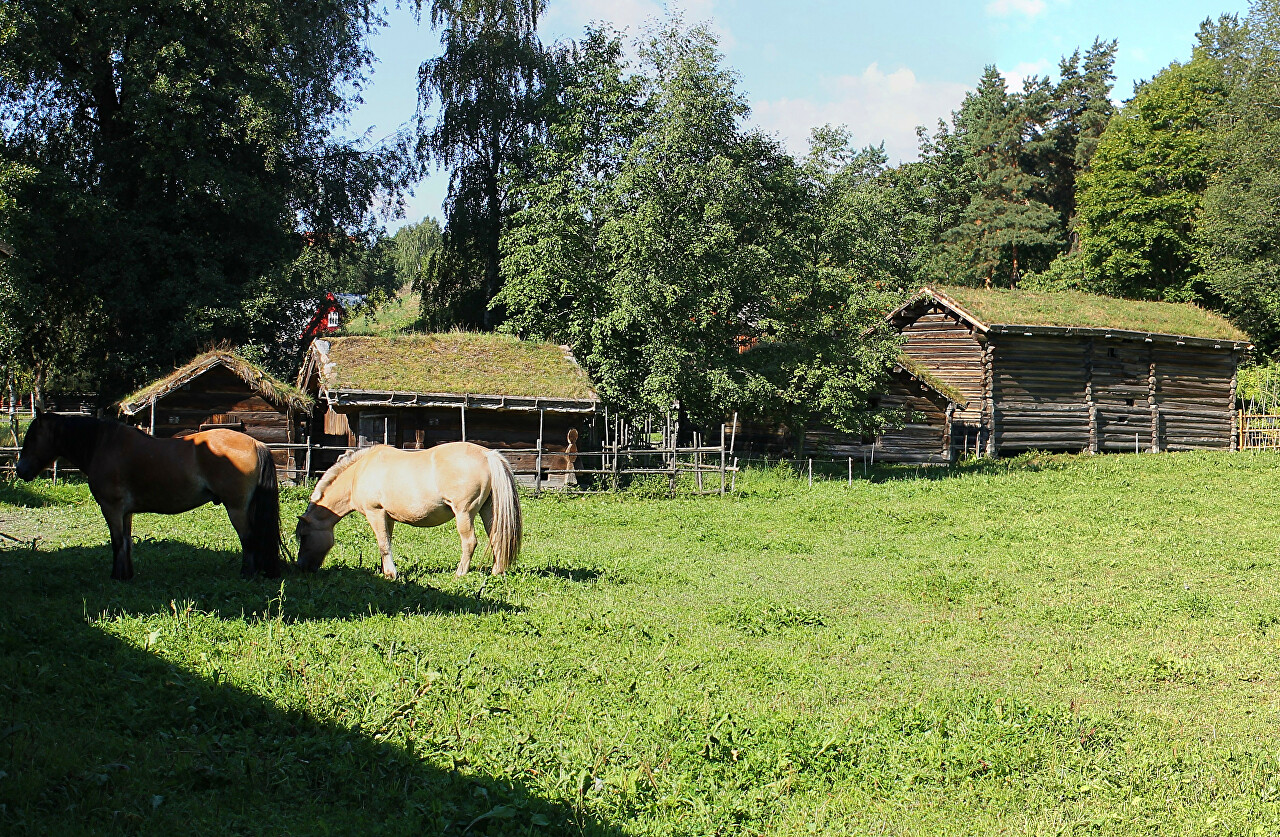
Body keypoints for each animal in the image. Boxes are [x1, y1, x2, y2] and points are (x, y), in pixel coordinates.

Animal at [15, 409, 280, 581]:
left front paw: (117, 577)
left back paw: (247, 575)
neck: (102, 445)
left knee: (248, 538)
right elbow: (126, 542)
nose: (20, 470)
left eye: (32, 437)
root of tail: (256, 444)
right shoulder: (125, 513)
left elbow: (116, 542)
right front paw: (126, 574)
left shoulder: (111, 508)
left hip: (236, 508)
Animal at [294, 442, 519, 581]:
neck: (358, 473)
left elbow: (383, 544)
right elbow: (387, 543)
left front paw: (390, 574)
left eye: (304, 536)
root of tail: (487, 454)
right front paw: (385, 571)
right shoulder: (388, 517)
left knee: (470, 542)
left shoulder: (375, 513)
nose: (301, 568)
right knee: (497, 537)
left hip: (464, 513)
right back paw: (497, 572)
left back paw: (460, 574)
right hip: (489, 510)